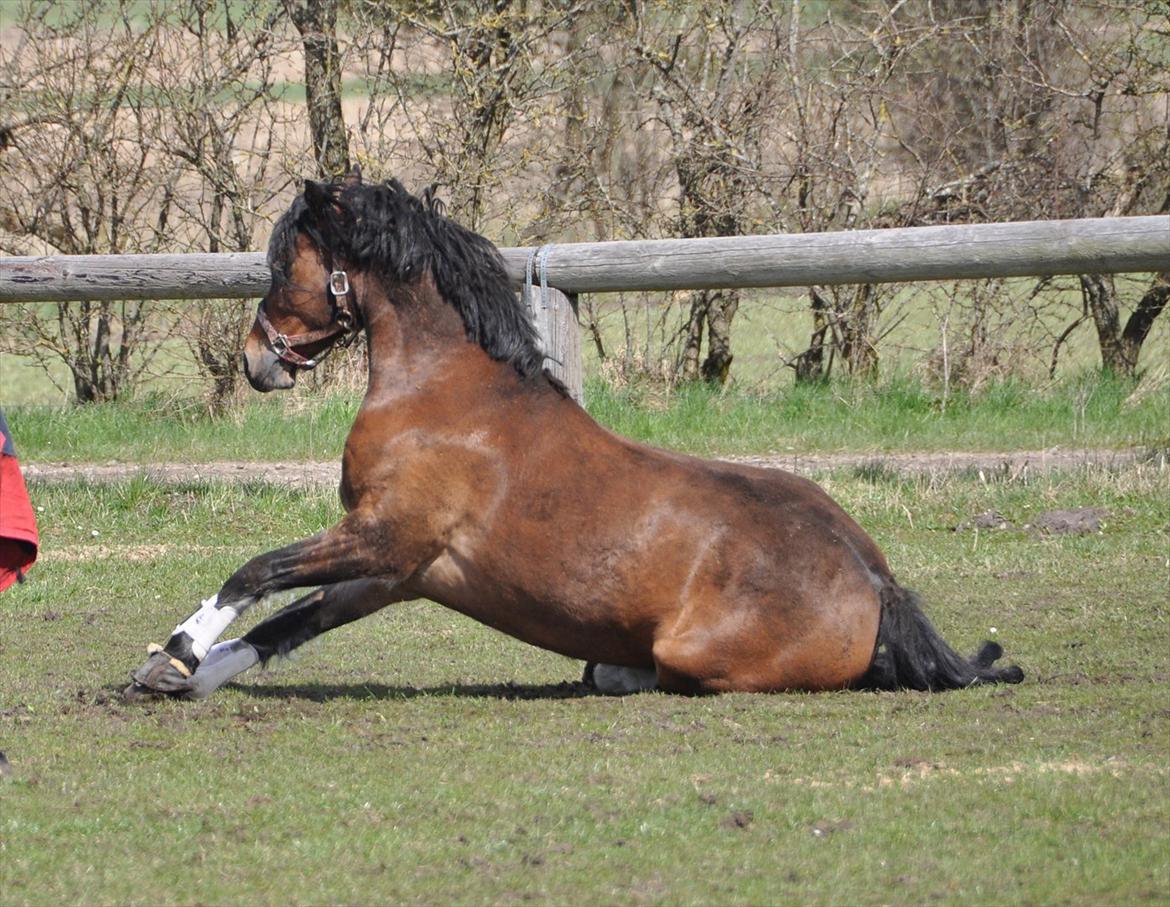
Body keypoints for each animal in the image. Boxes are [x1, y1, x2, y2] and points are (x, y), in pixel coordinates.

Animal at [130, 177, 1024, 702]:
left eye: (284, 265)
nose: (255, 360)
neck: (442, 393)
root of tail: (875, 582)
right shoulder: (396, 571)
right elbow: (283, 626)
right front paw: (176, 675)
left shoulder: (384, 537)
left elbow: (255, 573)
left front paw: (177, 650)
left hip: (698, 650)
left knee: (671, 677)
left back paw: (613, 668)